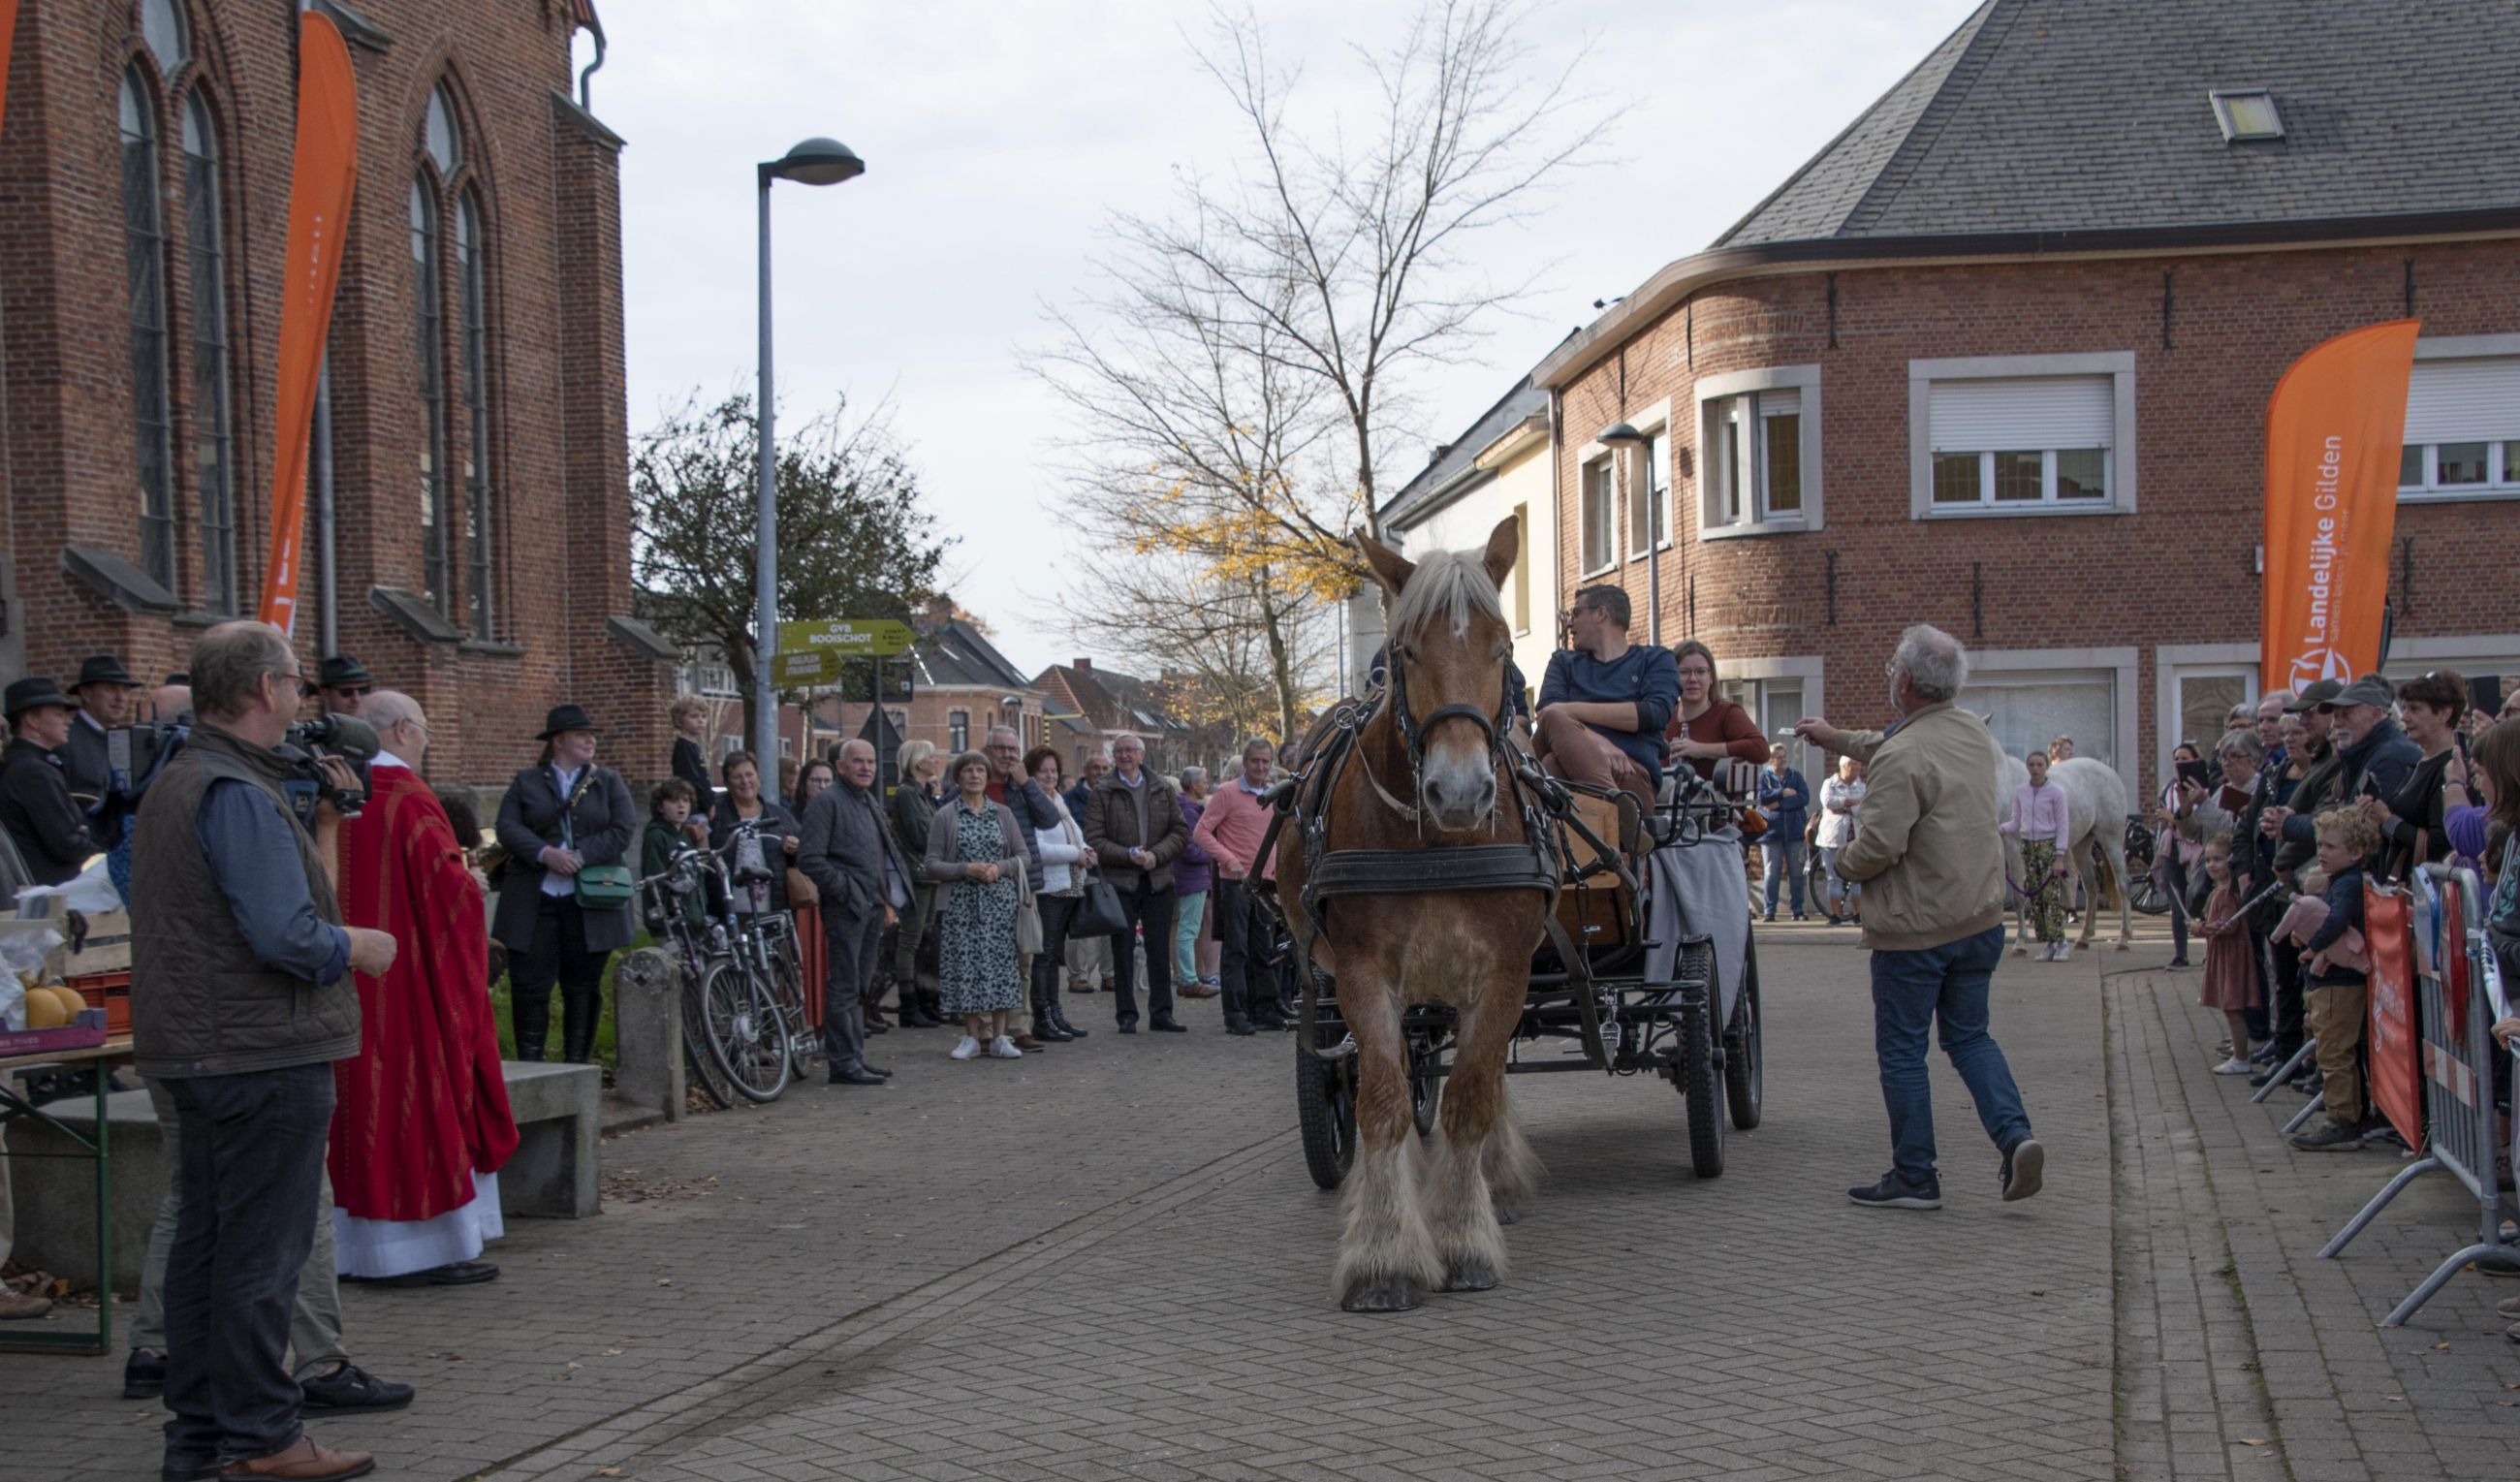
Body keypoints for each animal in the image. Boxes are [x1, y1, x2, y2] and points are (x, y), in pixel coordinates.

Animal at [1279, 514, 1531, 1310]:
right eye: (1407, 650)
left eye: (1502, 646)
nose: (1461, 791)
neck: (1436, 842)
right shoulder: (1362, 974)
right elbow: (1384, 1102)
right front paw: (1384, 1253)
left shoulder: (1505, 971)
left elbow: (1471, 1096)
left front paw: (1464, 1236)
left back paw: (1495, 1181)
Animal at [1996, 750, 2136, 962]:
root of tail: (2111, 773)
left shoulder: (2012, 847)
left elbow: (2019, 897)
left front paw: (2019, 944)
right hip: (2081, 845)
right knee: (2091, 886)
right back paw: (2083, 938)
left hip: (2111, 839)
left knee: (2123, 884)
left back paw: (2123, 940)